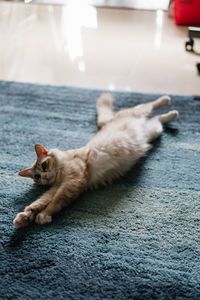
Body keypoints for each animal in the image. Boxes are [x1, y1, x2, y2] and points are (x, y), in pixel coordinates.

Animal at [13, 92, 179, 229]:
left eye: (44, 165)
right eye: (36, 177)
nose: (44, 177)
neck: (61, 174)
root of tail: (108, 121)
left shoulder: (72, 182)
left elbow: (55, 203)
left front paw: (43, 215)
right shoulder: (57, 187)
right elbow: (39, 202)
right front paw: (25, 217)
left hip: (140, 112)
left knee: (151, 105)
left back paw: (168, 102)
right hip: (154, 130)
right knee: (157, 119)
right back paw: (171, 114)